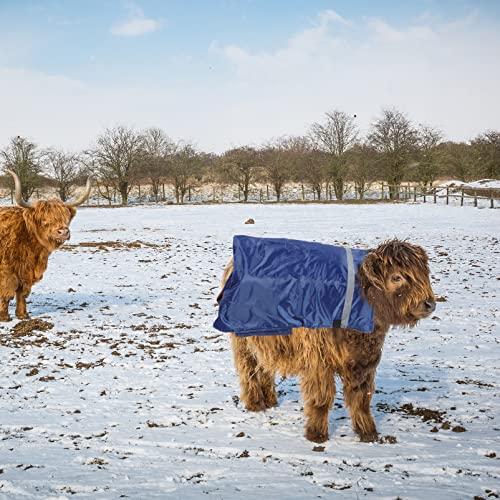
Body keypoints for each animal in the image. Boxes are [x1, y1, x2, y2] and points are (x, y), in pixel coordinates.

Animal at [0, 170, 93, 322]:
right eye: (44, 219)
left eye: (65, 217)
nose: (63, 232)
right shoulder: (7, 270)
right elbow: (6, 292)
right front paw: (4, 317)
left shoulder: (26, 271)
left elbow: (22, 293)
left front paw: (23, 315)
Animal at [221, 240, 436, 444]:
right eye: (397, 277)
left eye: (424, 273)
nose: (429, 304)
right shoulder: (318, 359)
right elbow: (322, 398)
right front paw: (316, 434)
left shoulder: (364, 362)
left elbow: (361, 399)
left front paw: (368, 433)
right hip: (242, 340)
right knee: (247, 368)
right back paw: (255, 404)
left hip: (268, 341)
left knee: (265, 365)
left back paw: (271, 401)